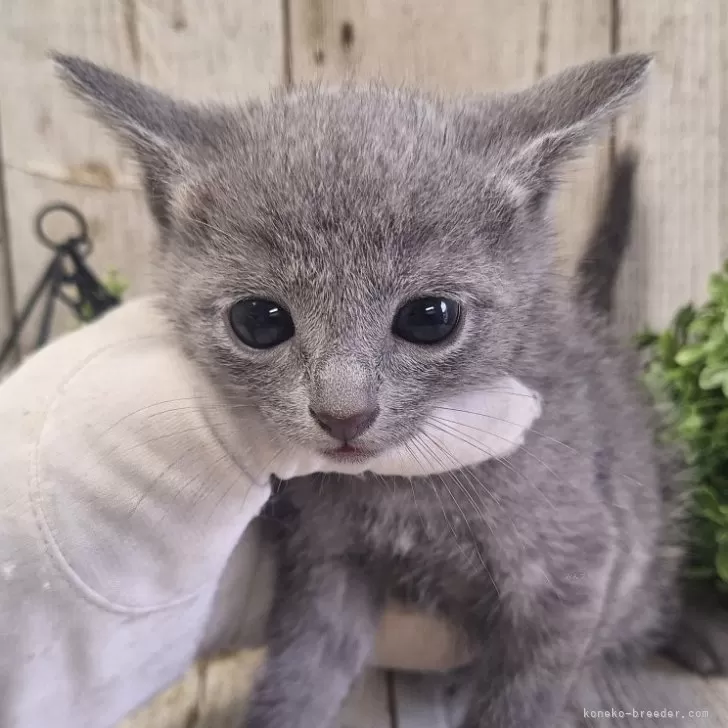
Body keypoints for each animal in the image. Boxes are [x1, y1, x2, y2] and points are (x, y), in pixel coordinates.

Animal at [55, 52, 704, 728]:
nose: (343, 413)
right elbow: (301, 674)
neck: (404, 500)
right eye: (258, 320)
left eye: (430, 317)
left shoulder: (576, 569)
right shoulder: (325, 564)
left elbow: (523, 698)